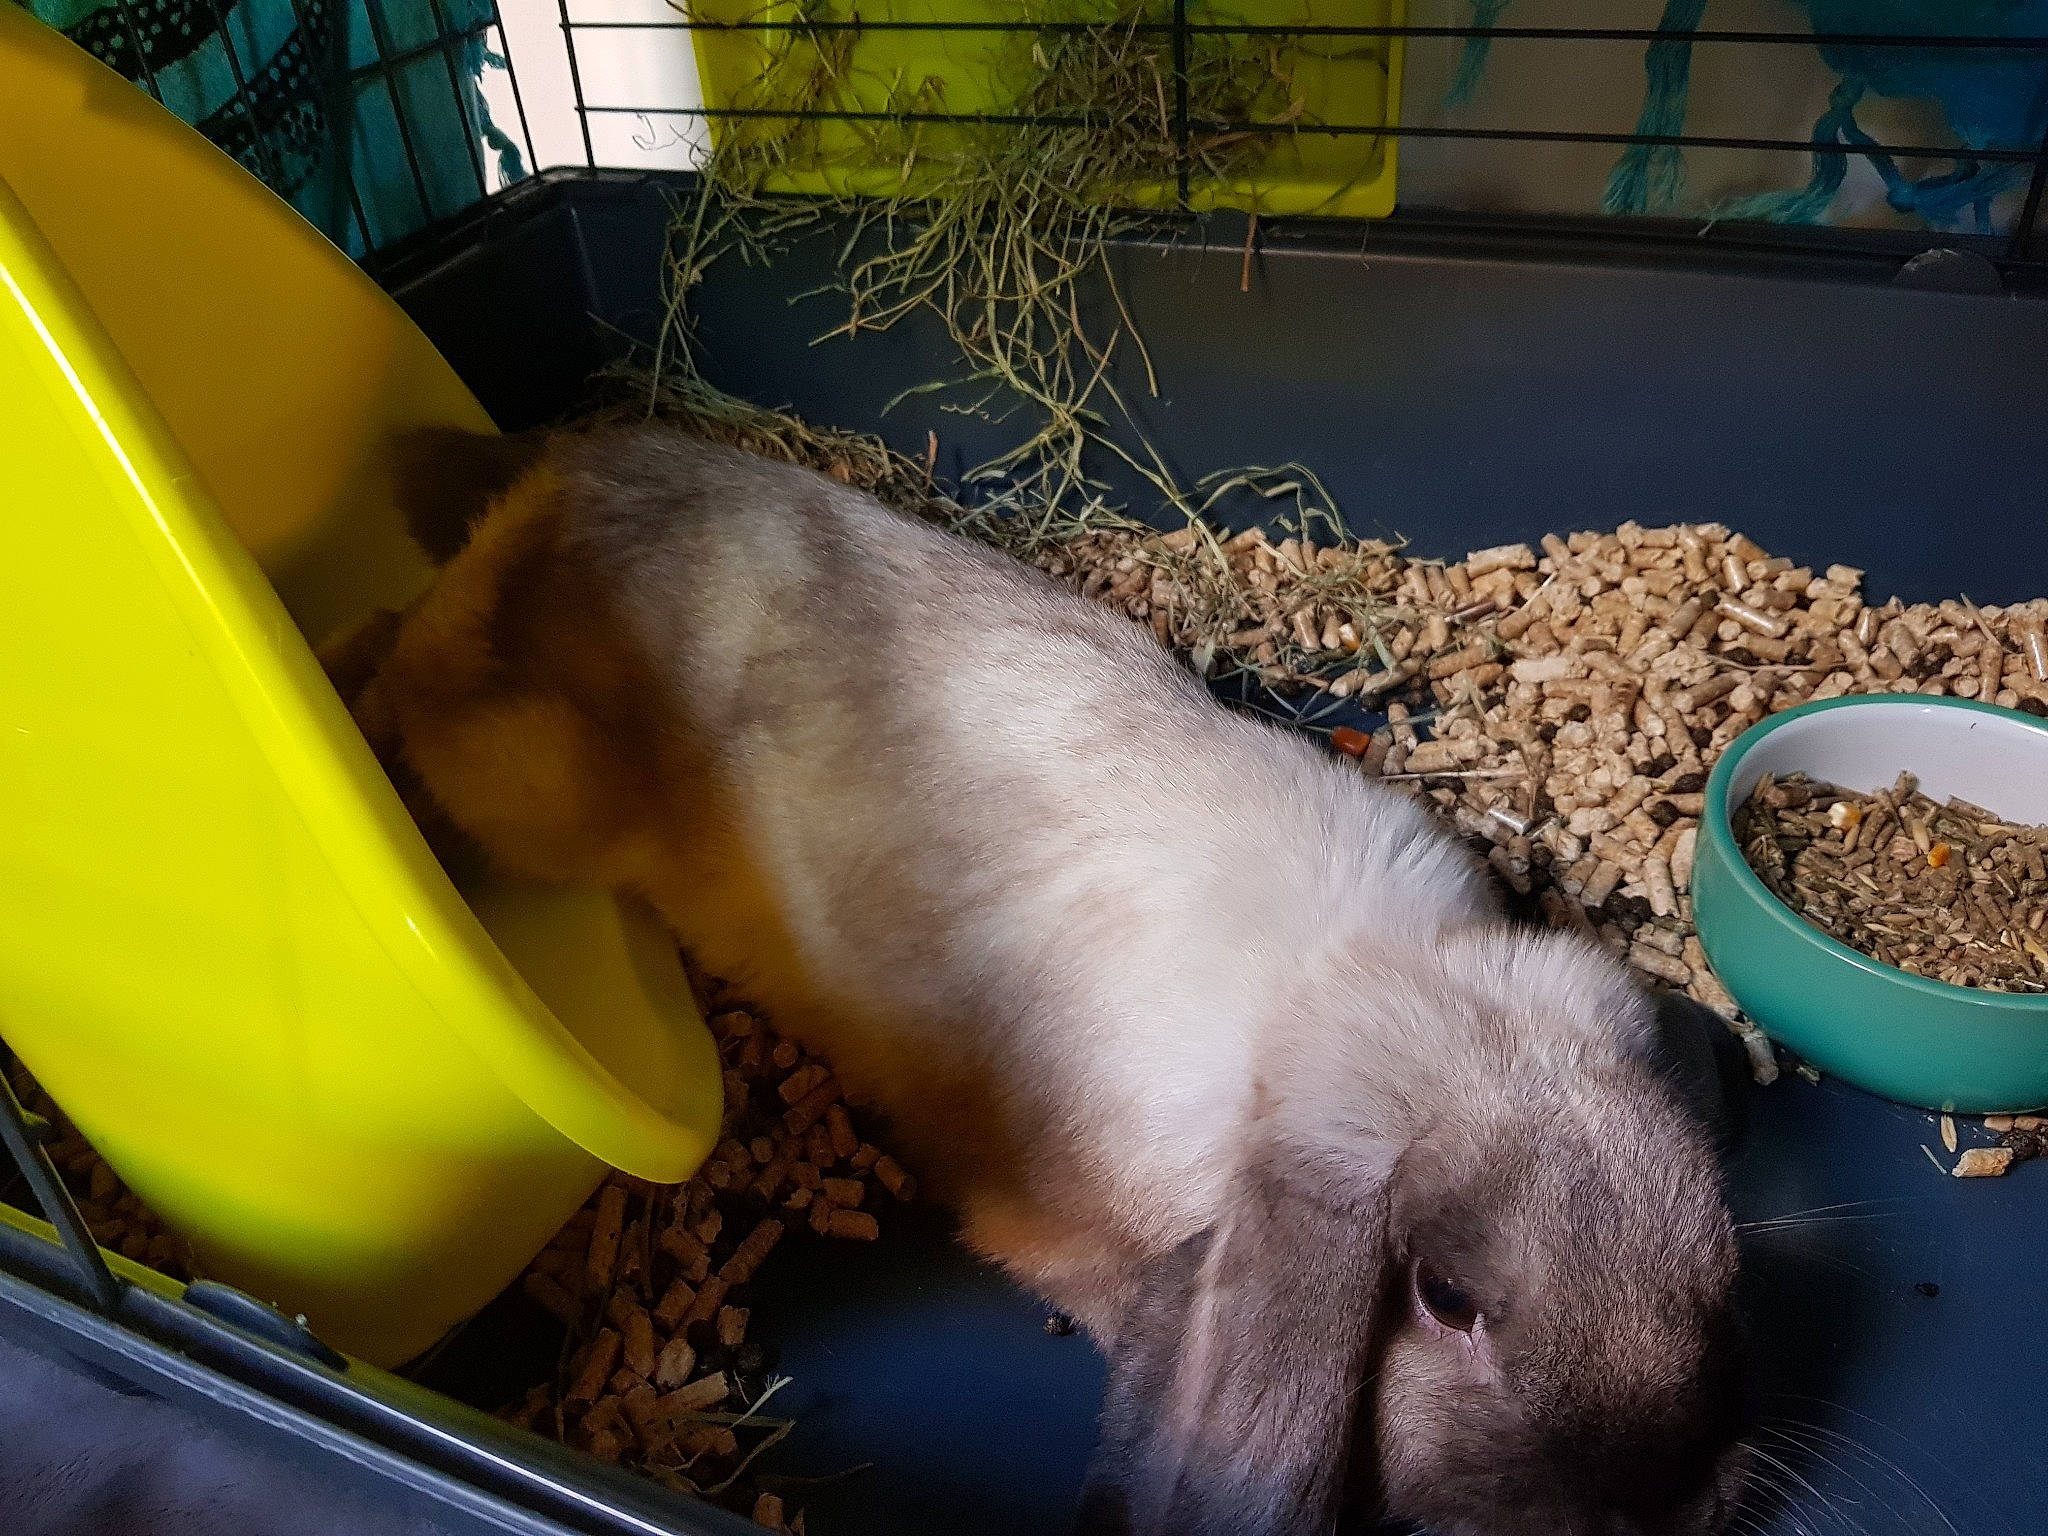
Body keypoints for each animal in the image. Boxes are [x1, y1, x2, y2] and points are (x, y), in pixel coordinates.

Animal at [341, 421, 1750, 1536]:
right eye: (1447, 1299)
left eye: (1714, 1271)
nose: (1651, 1500)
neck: (1338, 992)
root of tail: (567, 473)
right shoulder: (1055, 1218)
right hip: (527, 786)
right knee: (415, 677)